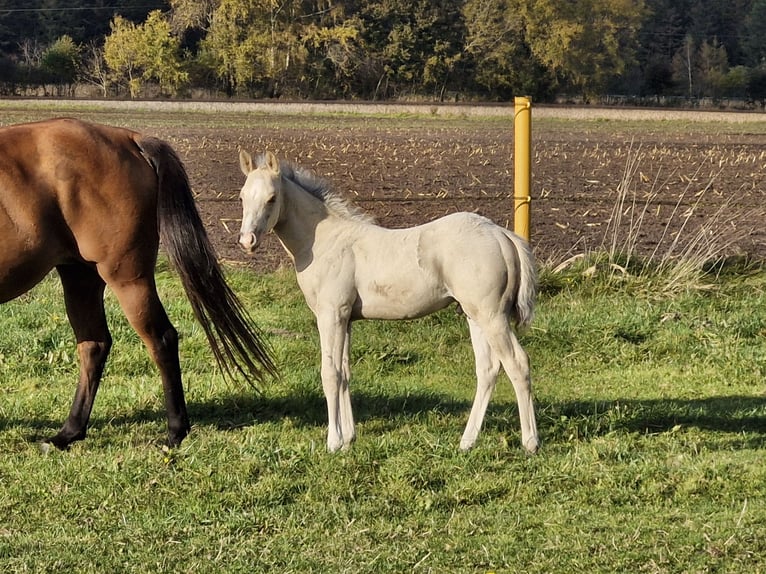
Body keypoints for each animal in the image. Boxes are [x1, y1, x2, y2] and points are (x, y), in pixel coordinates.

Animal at [0, 117, 276, 450]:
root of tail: (129, 138)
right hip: (80, 275)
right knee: (93, 346)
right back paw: (69, 433)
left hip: (128, 279)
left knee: (161, 339)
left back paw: (175, 431)